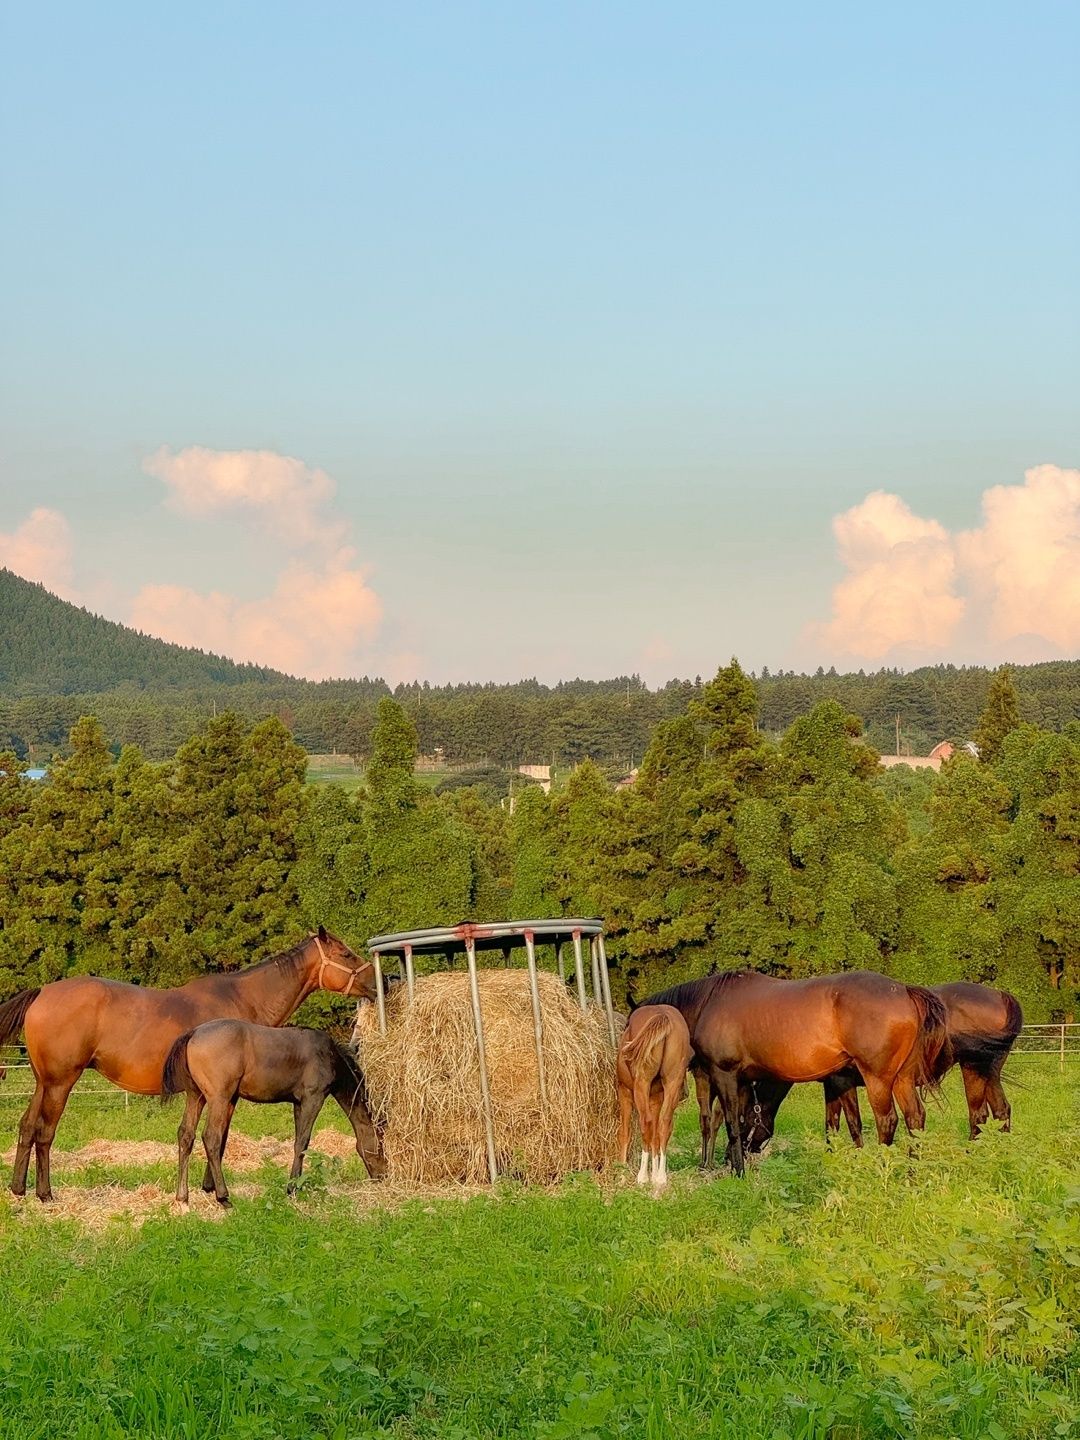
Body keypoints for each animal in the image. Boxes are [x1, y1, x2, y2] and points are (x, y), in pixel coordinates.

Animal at [162, 1020, 386, 1205]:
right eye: (382, 1145)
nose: (383, 1176)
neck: (328, 1054)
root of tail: (193, 1033)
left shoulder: (297, 1104)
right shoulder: (313, 1099)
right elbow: (302, 1142)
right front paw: (292, 1188)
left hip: (196, 1096)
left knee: (186, 1135)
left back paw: (182, 1197)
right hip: (218, 1098)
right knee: (210, 1138)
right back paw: (223, 1197)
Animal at [616, 1004, 693, 1188]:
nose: (685, 1093)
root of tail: (662, 1014)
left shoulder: (624, 1093)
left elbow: (625, 1132)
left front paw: (622, 1173)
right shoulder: (656, 1099)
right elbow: (655, 1138)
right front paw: (655, 1172)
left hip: (641, 1084)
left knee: (646, 1122)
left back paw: (642, 1176)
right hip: (673, 1082)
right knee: (664, 1124)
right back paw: (661, 1177)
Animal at [645, 969, 948, 1176]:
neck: (710, 1001)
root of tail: (904, 990)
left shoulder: (725, 1075)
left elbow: (731, 1123)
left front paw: (737, 1172)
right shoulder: (743, 1081)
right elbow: (741, 1123)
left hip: (879, 1078)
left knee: (887, 1121)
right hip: (902, 1079)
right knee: (915, 1118)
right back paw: (912, 1171)